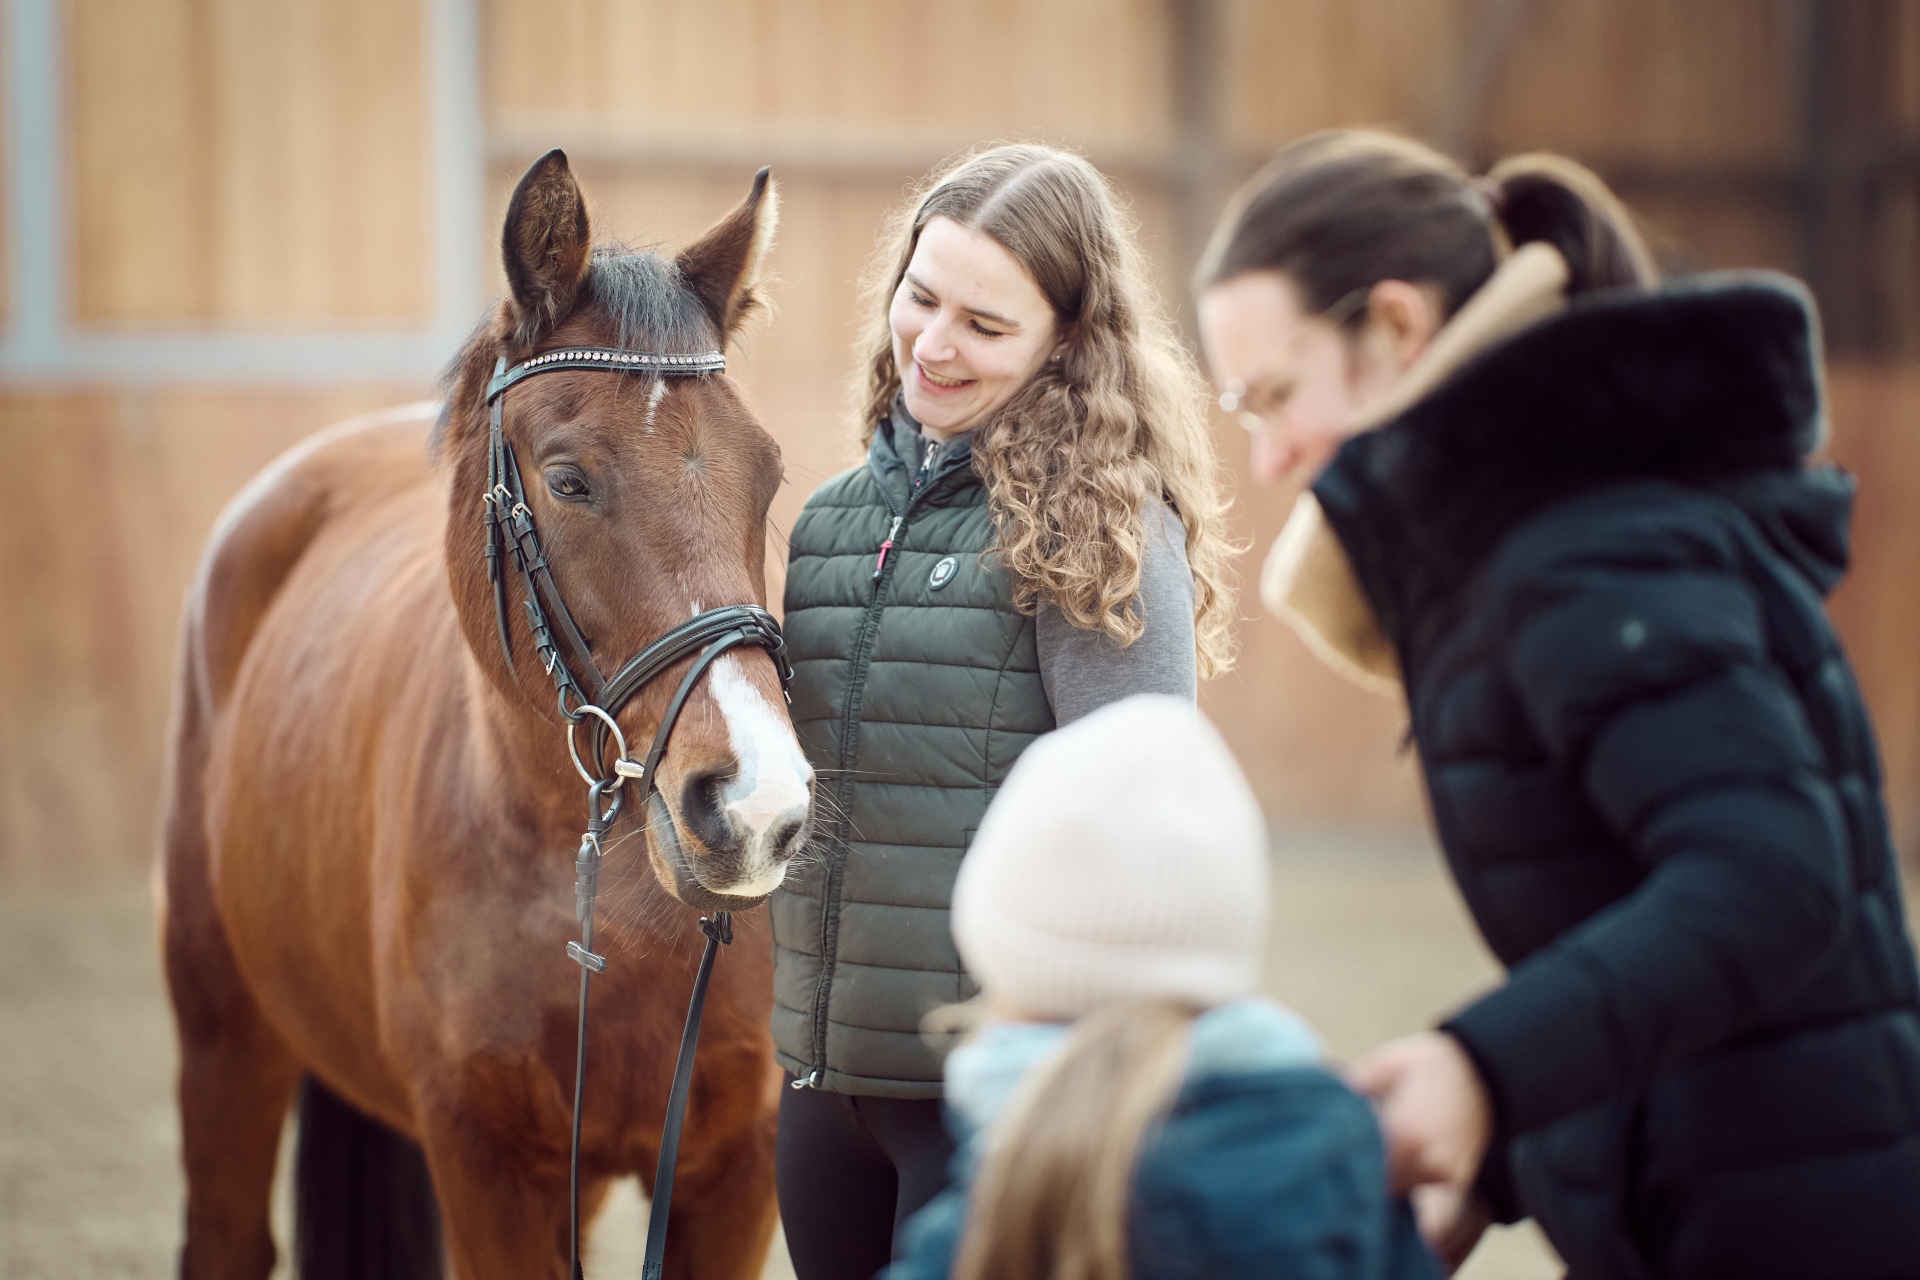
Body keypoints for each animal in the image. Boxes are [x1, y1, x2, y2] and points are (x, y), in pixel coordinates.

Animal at [157, 149, 813, 1280]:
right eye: (567, 479)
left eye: (765, 477)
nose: (756, 807)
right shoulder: (485, 1162)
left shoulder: (733, 1169)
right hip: (225, 1040)